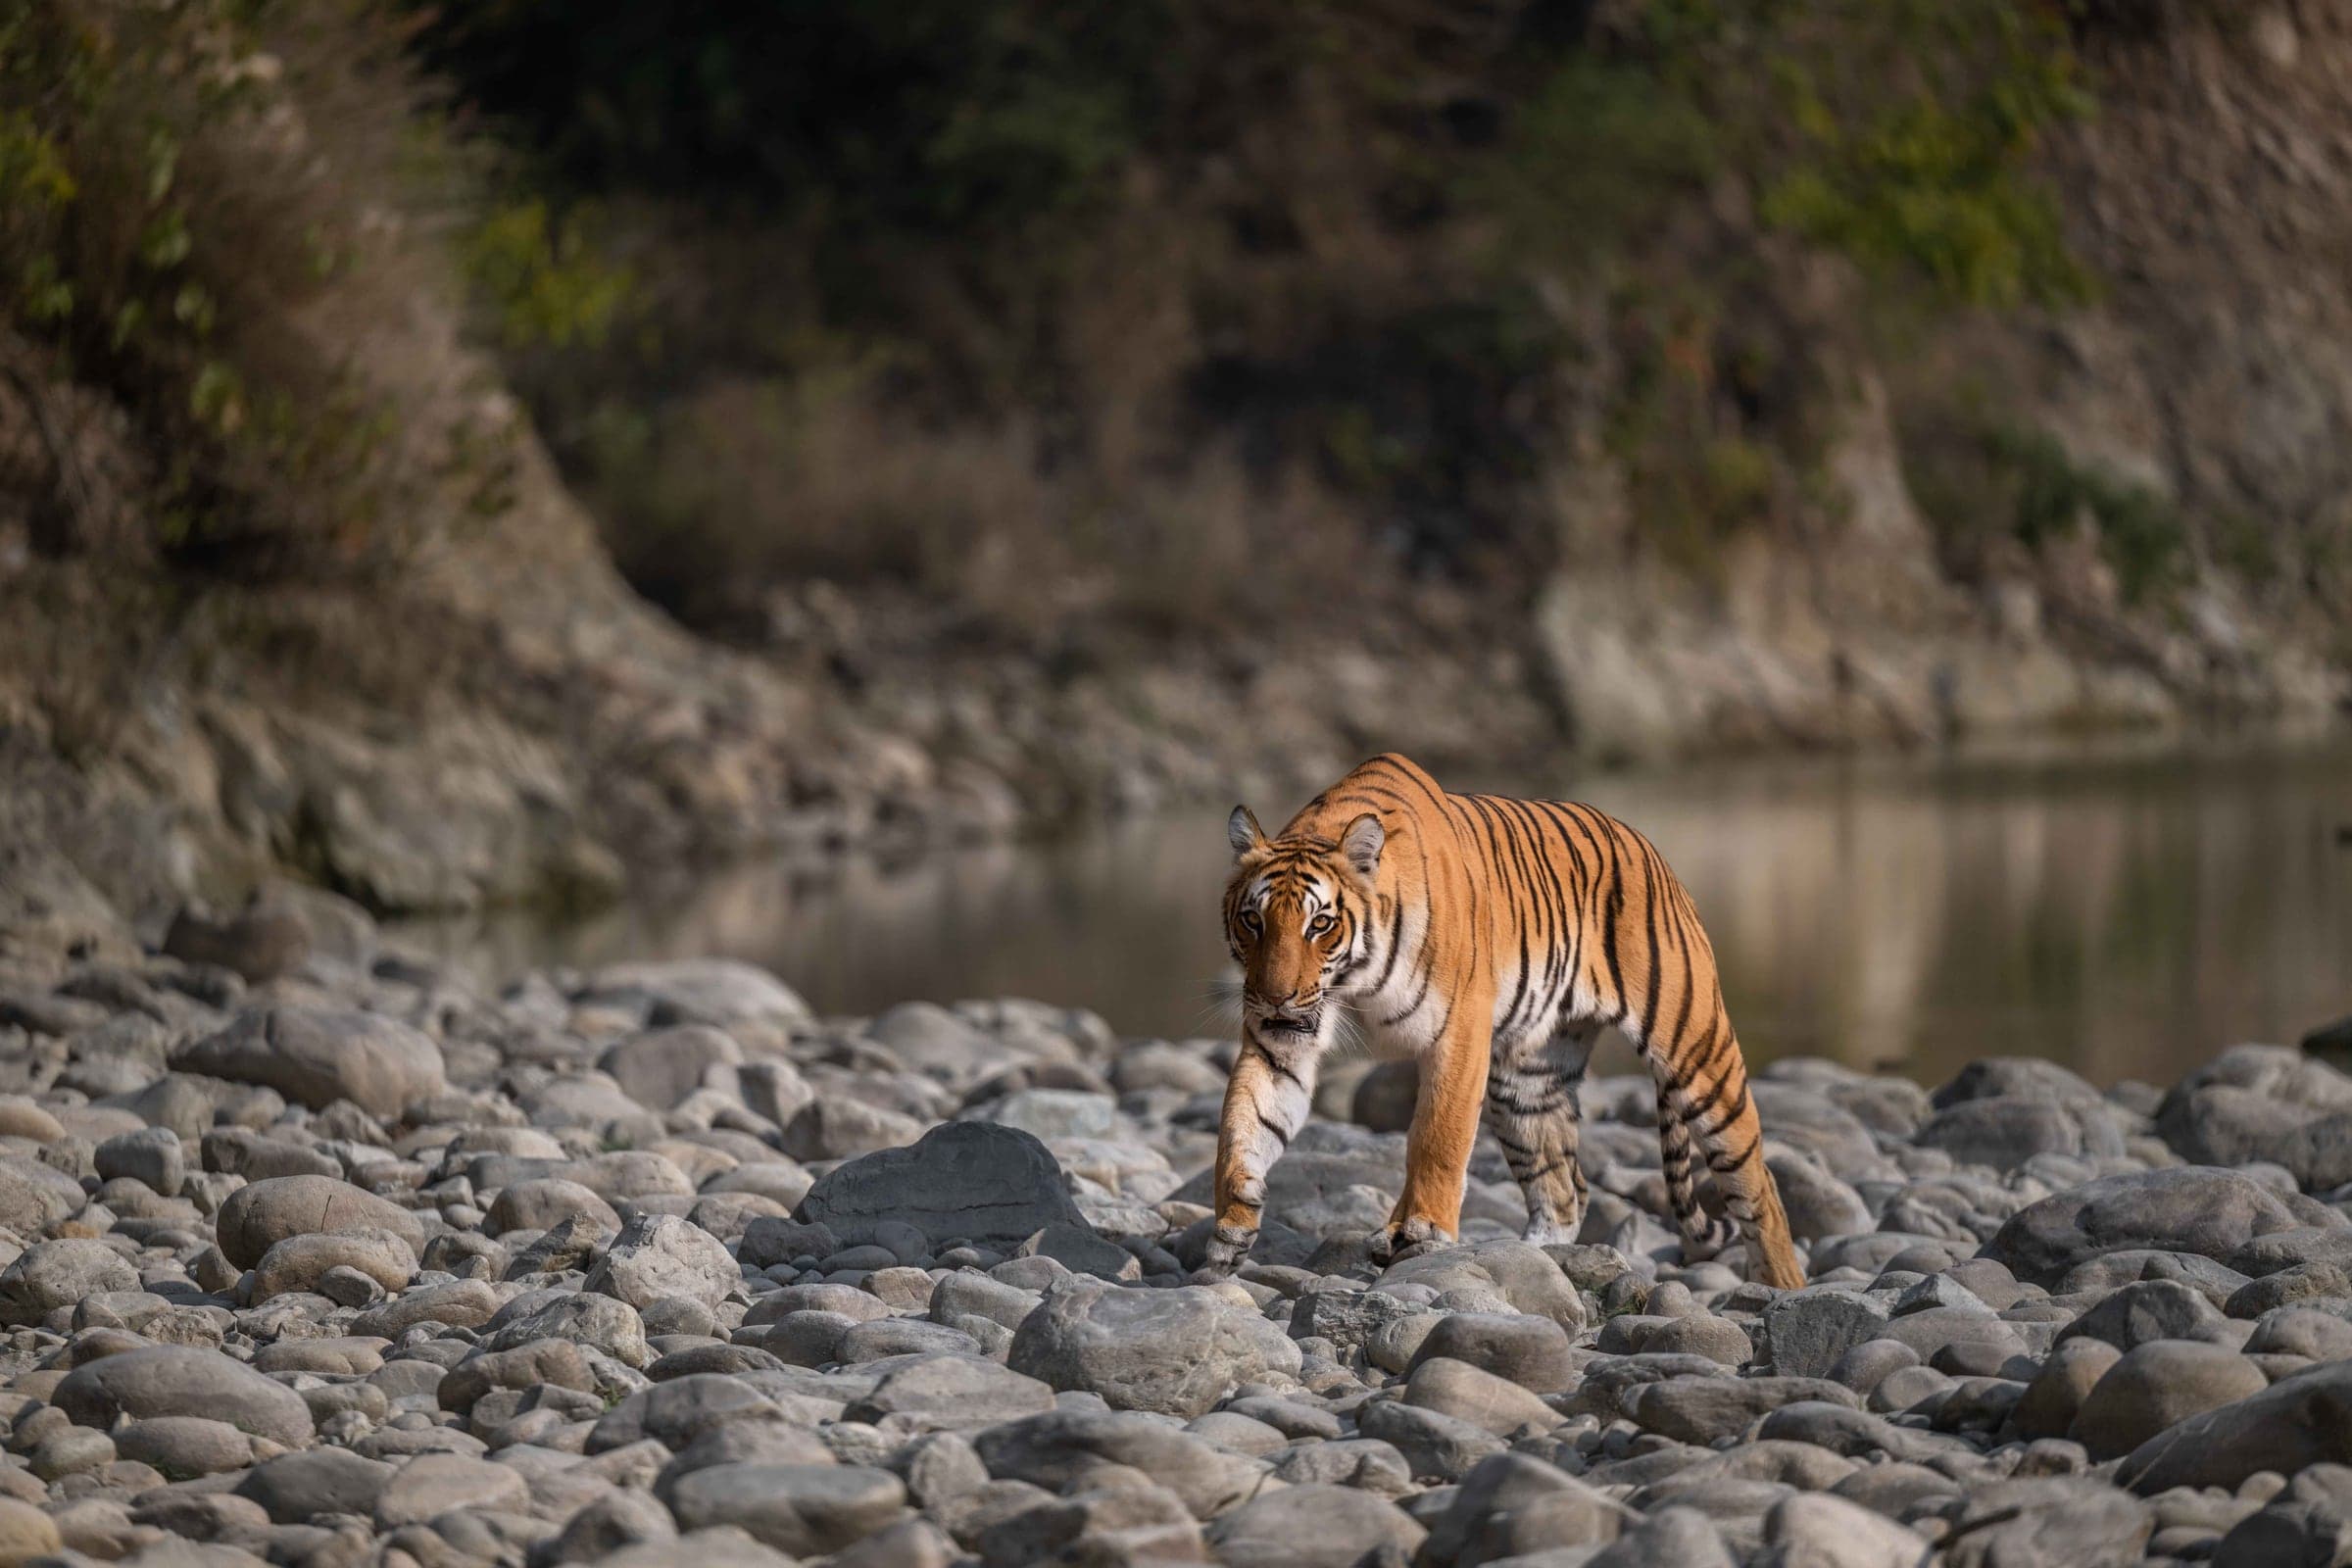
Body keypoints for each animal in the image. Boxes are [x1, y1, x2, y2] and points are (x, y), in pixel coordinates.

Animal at [1201, 751, 1803, 1289]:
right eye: (1253, 920)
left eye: (1320, 924)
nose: (1276, 997)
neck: (1353, 980)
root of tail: (1650, 848)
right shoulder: (1281, 1039)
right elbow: (1243, 1120)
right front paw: (1234, 1219)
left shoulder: (1459, 1032)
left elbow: (1437, 1138)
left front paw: (1420, 1231)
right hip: (1525, 1082)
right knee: (1563, 1191)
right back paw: (1530, 1258)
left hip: (1697, 1055)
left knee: (1760, 1187)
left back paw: (1780, 1287)